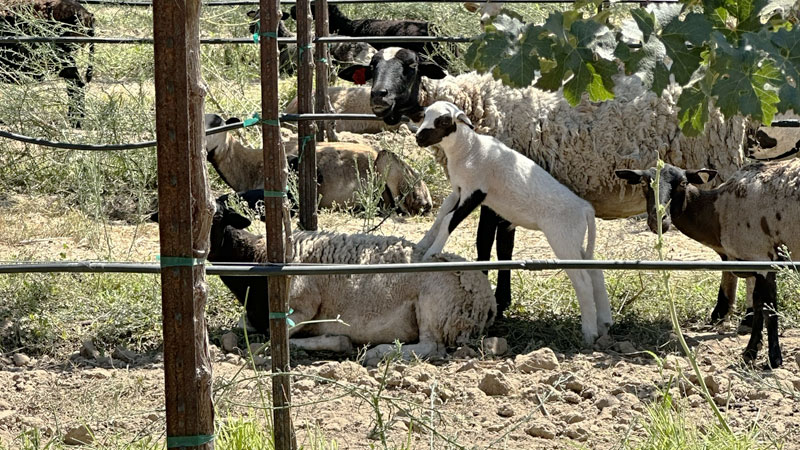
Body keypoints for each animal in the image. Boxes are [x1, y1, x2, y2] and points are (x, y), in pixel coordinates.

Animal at [206, 195, 496, 363]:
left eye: (215, 217)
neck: (259, 259)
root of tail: (485, 297)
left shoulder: (301, 306)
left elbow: (271, 341)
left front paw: (338, 342)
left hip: (435, 306)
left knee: (432, 347)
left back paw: (378, 352)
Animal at [337, 46, 751, 319]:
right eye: (372, 67)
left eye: (410, 67)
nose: (379, 98)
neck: (475, 106)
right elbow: (502, 244)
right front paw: (501, 297)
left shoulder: (493, 185)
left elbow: (487, 243)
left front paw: (494, 300)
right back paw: (727, 312)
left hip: (720, 170)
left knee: (733, 246)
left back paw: (734, 314)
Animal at [416, 101, 611, 344]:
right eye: (424, 115)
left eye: (443, 121)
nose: (418, 138)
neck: (469, 149)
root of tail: (585, 208)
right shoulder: (459, 190)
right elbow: (441, 214)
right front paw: (423, 244)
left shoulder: (475, 192)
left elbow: (448, 221)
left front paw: (431, 254)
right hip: (574, 239)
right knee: (595, 272)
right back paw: (603, 324)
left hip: (562, 239)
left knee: (583, 281)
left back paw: (589, 332)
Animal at [615, 158, 800, 368]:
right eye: (644, 183)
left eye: (683, 183)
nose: (658, 219)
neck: (717, 212)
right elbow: (759, 306)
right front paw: (752, 352)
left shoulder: (762, 258)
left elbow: (767, 308)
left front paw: (772, 358)